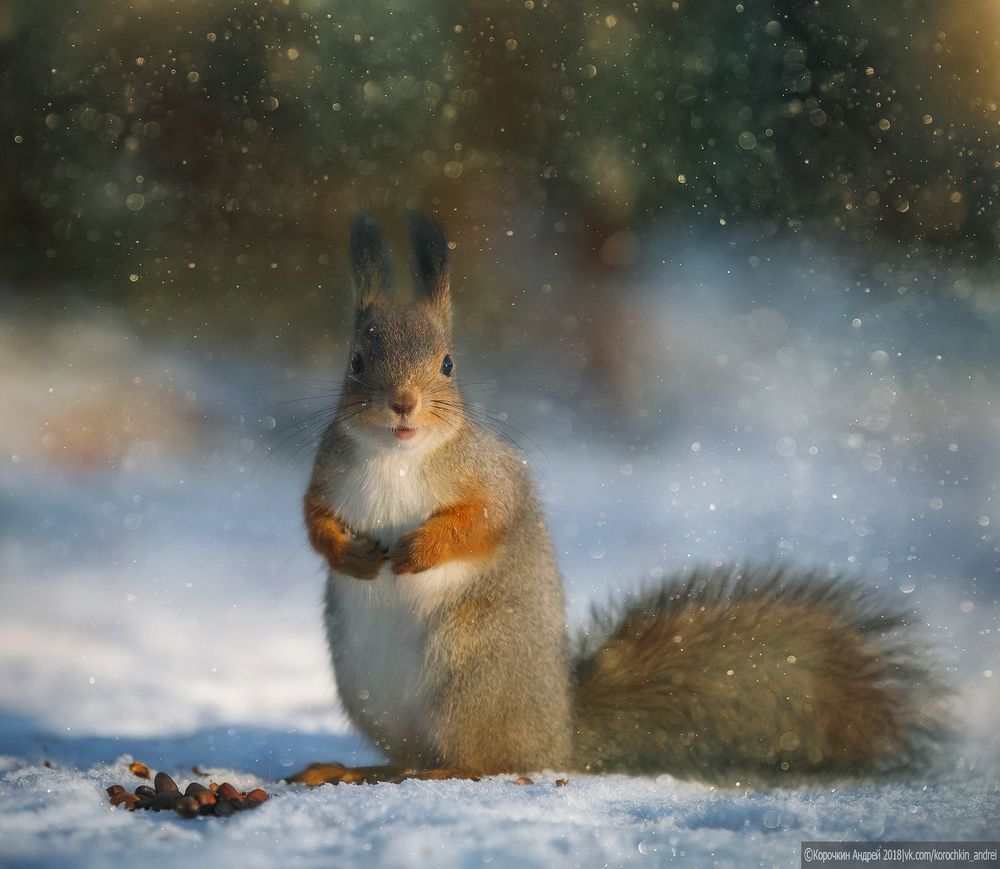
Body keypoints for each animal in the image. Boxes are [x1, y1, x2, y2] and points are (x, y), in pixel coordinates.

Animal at [288, 212, 945, 787]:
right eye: (355, 362)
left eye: (448, 364)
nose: (403, 403)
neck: (396, 455)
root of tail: (560, 733)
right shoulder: (326, 477)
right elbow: (315, 520)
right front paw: (350, 555)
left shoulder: (494, 480)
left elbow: (482, 520)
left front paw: (419, 550)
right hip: (377, 696)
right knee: (410, 757)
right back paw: (349, 770)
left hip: (471, 674)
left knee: (487, 760)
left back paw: (446, 771)